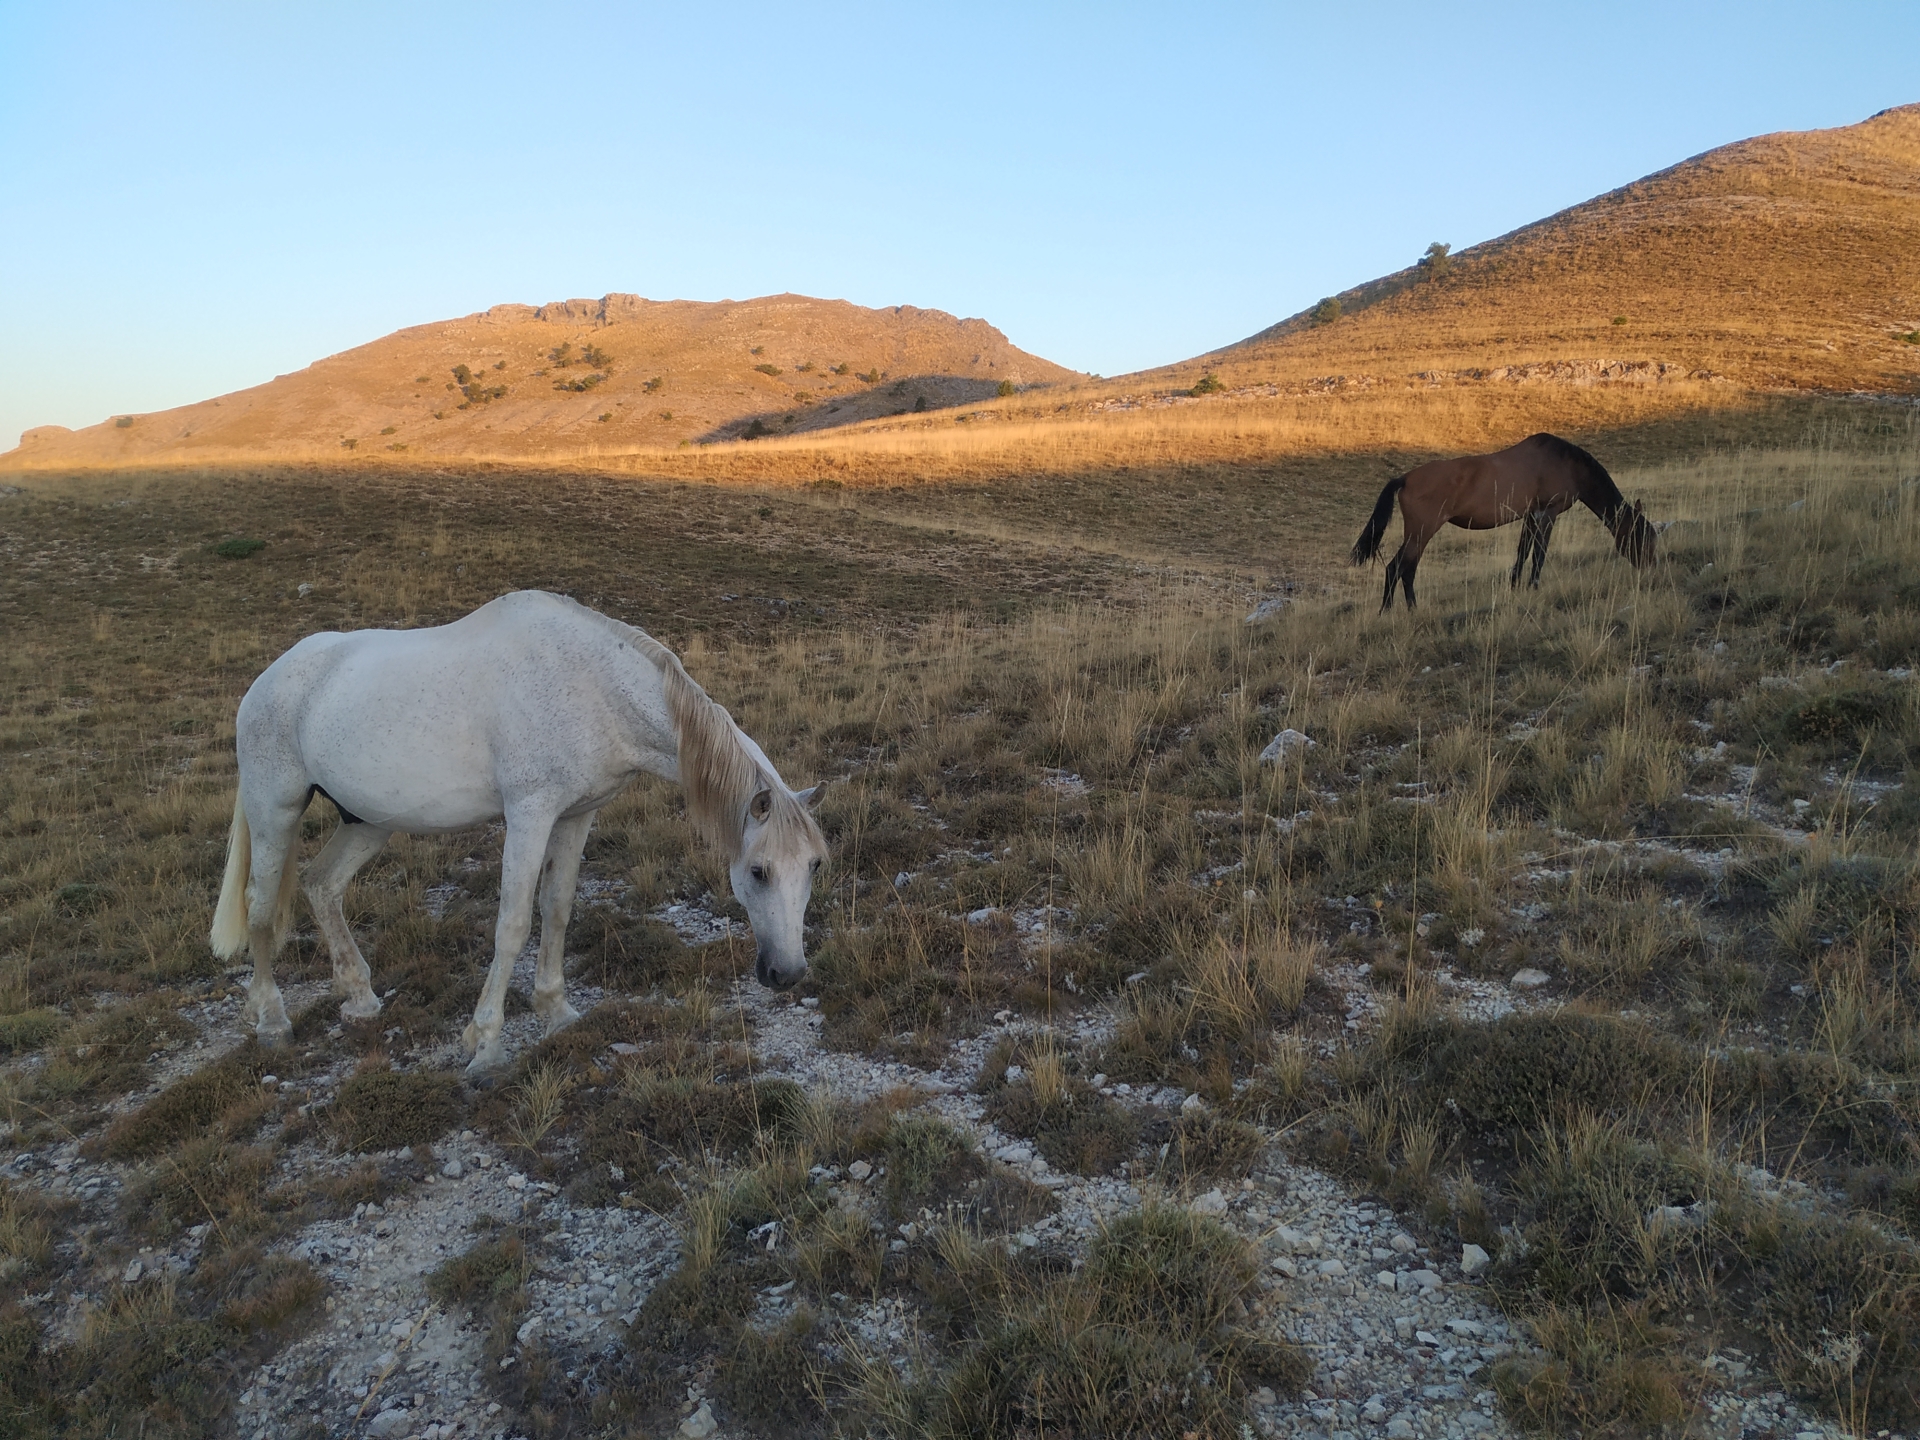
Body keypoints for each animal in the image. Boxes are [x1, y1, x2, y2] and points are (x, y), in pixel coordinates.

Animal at [210, 587, 825, 1075]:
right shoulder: (530, 813)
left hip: (367, 822)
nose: (788, 973)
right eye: (758, 871)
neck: (592, 686)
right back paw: (272, 1021)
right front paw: (485, 1042)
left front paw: (555, 1009)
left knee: (322, 885)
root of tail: (267, 681)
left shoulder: (577, 815)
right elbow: (512, 924)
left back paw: (359, 996)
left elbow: (556, 908)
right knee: (261, 907)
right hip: (275, 809)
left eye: (815, 866)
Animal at [1351, 428, 1651, 610]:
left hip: (1419, 533)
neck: (1568, 464)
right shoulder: (1548, 513)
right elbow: (1539, 554)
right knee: (1398, 568)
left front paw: (1516, 586)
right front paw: (1533, 587)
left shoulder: (1531, 515)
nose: (1650, 567)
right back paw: (1393, 611)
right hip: (1422, 531)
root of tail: (1404, 479)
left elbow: (1522, 552)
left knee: (1405, 569)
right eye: (1640, 537)